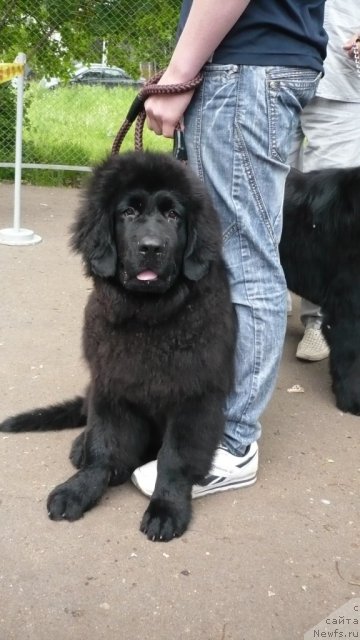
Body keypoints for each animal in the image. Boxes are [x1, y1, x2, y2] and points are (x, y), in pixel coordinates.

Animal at [0, 152, 236, 544]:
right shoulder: (112, 387)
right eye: (128, 212)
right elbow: (104, 446)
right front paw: (79, 489)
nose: (152, 247)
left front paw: (166, 508)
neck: (148, 319)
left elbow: (174, 458)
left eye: (174, 216)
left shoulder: (195, 396)